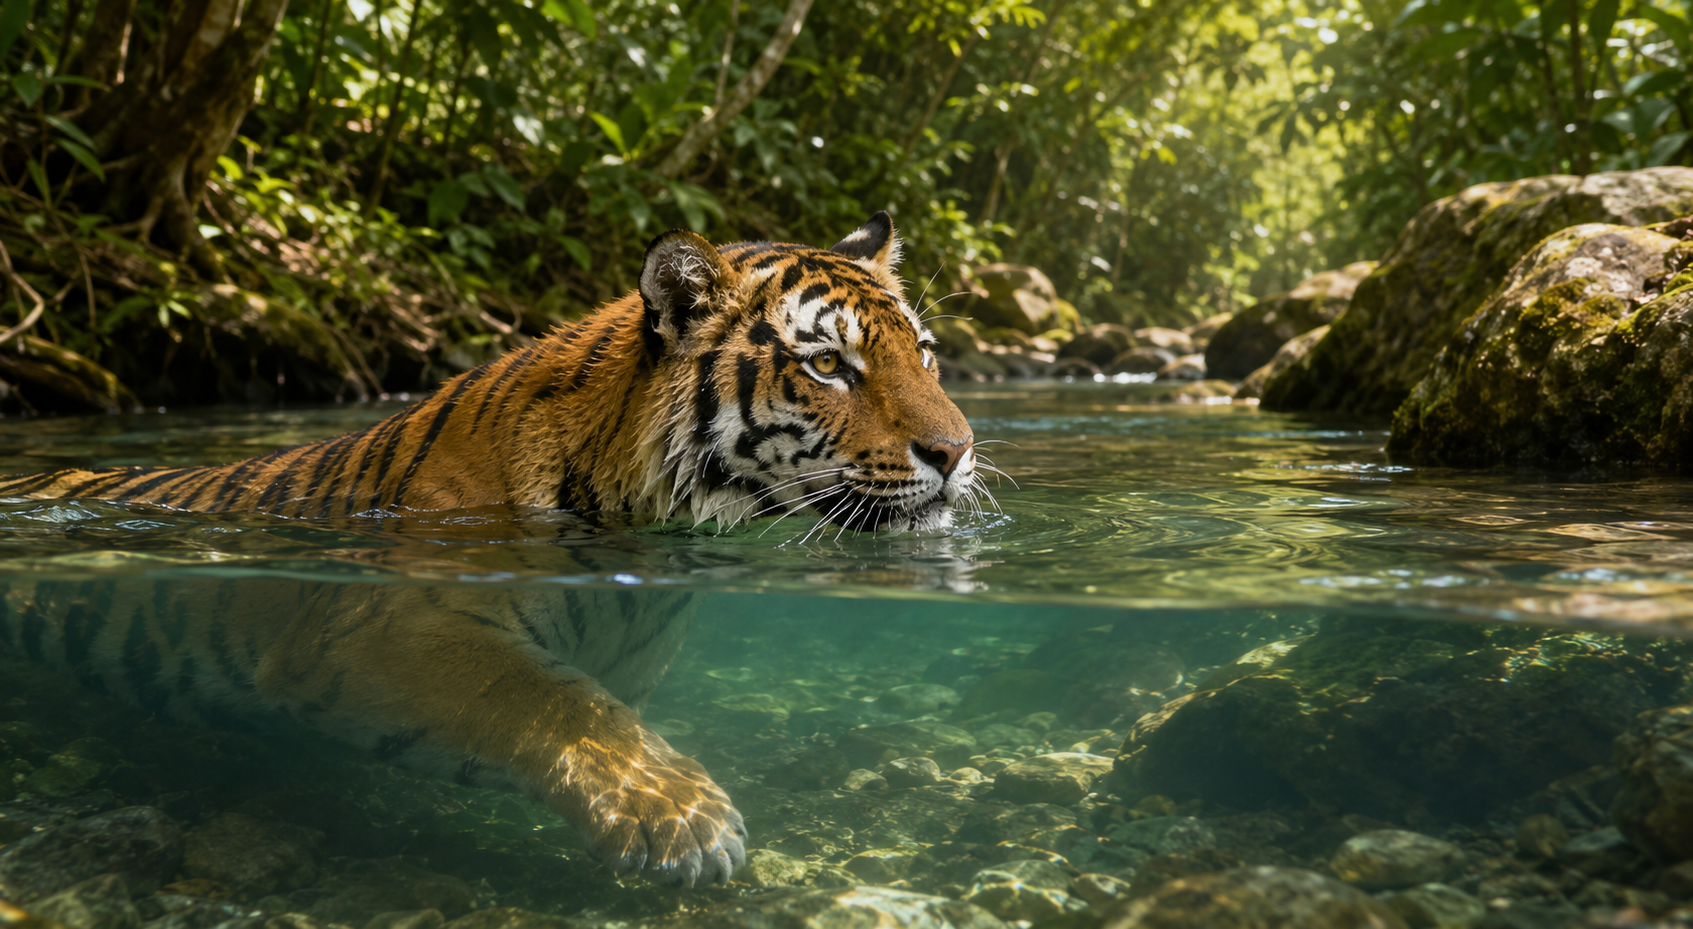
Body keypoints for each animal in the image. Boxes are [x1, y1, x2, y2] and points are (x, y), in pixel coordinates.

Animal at [0, 213, 979, 889]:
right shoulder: (390, 624)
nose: (957, 450)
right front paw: (681, 817)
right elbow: (549, 701)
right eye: (827, 366)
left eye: (926, 354)